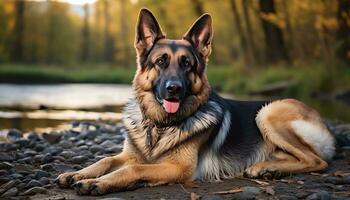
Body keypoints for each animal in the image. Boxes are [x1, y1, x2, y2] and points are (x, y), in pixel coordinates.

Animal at [57, 8, 336, 195]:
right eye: (160, 62)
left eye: (187, 64)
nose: (174, 90)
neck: (159, 126)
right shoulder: (131, 155)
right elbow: (105, 160)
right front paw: (77, 173)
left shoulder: (177, 168)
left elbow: (131, 170)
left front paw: (98, 182)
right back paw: (267, 168)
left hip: (268, 112)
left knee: (317, 161)